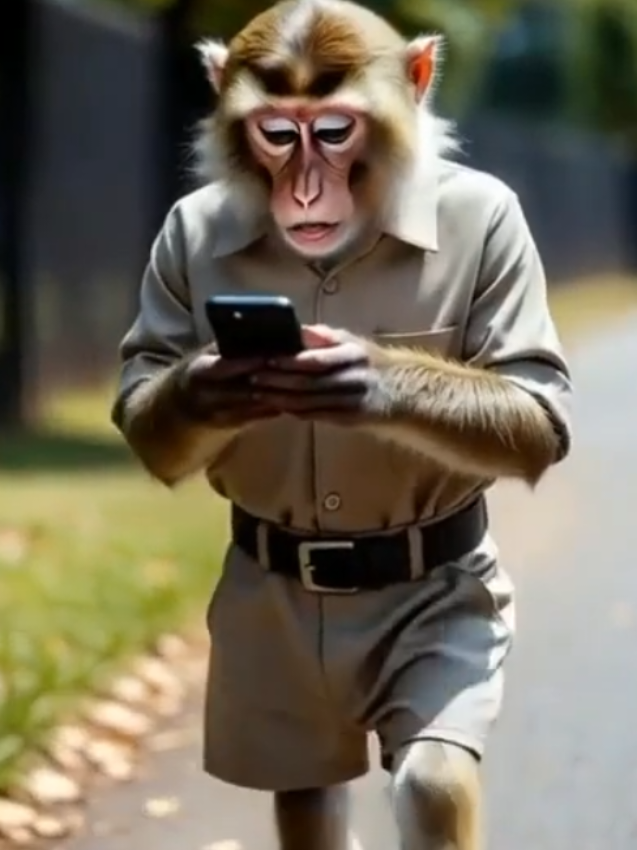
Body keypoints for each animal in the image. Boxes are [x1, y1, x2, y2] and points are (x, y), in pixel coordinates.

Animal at [112, 1, 572, 849]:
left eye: (331, 132)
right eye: (274, 133)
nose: (300, 190)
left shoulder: (502, 217)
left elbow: (536, 408)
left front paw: (365, 376)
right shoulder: (173, 229)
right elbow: (140, 397)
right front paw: (209, 381)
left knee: (429, 775)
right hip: (268, 681)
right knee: (303, 787)